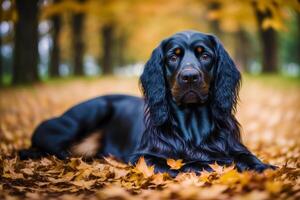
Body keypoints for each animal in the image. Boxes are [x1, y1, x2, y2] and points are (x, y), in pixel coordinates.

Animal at [18, 30, 274, 175]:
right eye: (173, 56)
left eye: (205, 55)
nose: (189, 77)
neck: (192, 123)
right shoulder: (143, 155)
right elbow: (173, 166)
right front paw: (199, 165)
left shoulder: (234, 147)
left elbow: (247, 157)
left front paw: (265, 167)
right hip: (89, 113)